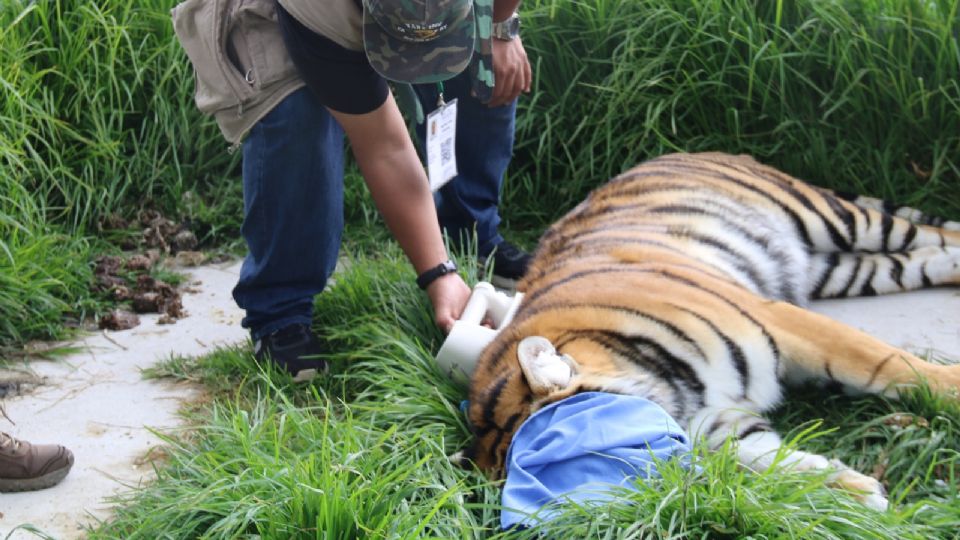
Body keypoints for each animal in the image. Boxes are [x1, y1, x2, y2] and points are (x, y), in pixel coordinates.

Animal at [458, 151, 960, 510]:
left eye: (557, 443)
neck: (672, 390)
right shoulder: (719, 425)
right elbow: (769, 459)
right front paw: (855, 489)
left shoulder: (779, 319)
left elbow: (887, 364)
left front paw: (949, 390)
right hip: (837, 270)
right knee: (923, 260)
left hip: (831, 218)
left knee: (929, 235)